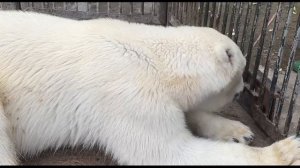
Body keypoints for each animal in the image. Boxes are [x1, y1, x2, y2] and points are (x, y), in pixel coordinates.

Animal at [0, 10, 300, 165]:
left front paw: (238, 131)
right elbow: (167, 153)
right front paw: (285, 150)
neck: (152, 56)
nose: (241, 90)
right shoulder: (129, 96)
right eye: (241, 72)